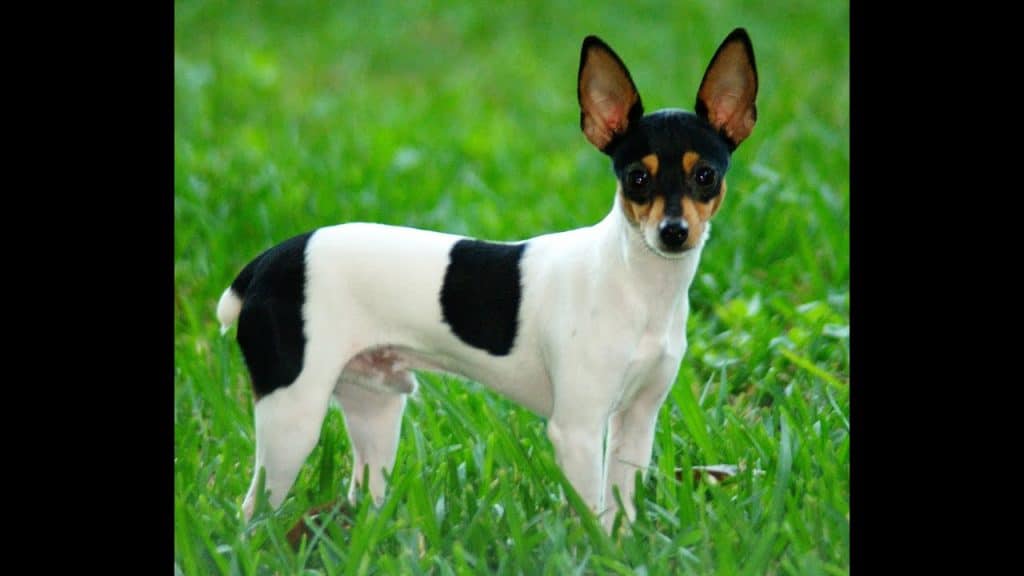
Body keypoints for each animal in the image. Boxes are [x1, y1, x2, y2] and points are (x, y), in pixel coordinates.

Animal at [218, 26, 761, 528]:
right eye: (637, 179)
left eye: (706, 176)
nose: (674, 232)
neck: (634, 283)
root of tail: (265, 263)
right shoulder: (579, 429)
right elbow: (591, 516)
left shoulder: (637, 419)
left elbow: (619, 509)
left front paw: (623, 549)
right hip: (293, 417)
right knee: (252, 510)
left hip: (374, 408)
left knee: (363, 491)